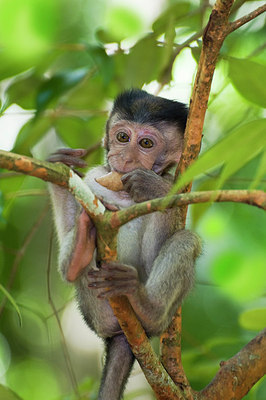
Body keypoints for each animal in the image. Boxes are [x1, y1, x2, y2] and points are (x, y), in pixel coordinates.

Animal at [48, 88, 202, 400]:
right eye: (122, 137)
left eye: (145, 144)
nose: (125, 157)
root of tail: (120, 333)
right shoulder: (95, 177)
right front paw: (62, 168)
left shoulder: (178, 183)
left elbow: (170, 225)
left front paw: (154, 187)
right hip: (95, 311)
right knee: (76, 267)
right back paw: (81, 247)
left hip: (158, 320)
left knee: (185, 240)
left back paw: (145, 304)